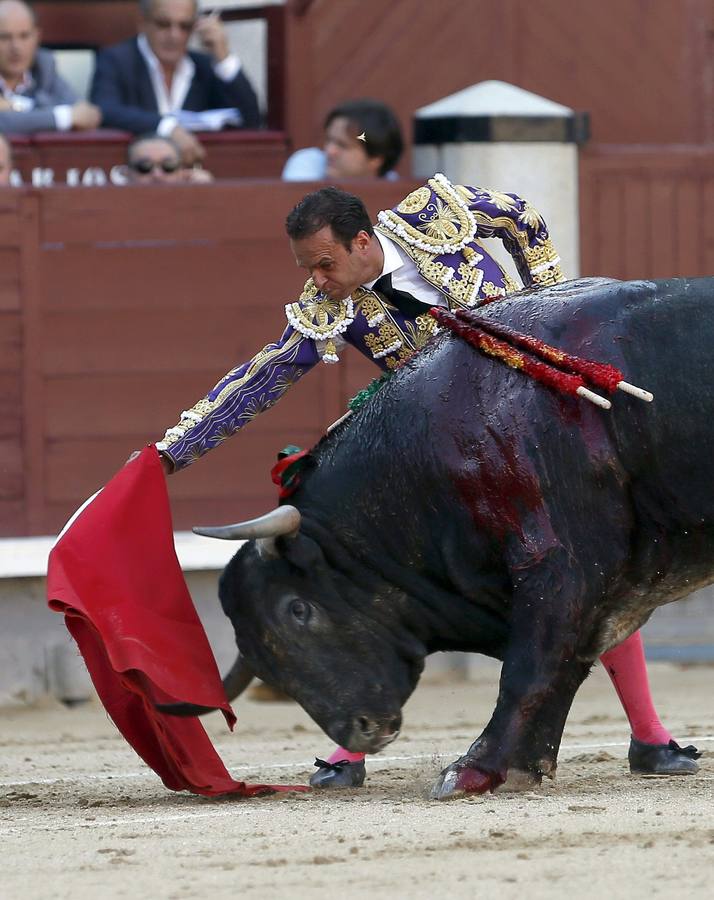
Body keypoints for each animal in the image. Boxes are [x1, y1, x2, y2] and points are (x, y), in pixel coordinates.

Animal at [165, 278, 708, 800]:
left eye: (298, 609)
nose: (360, 730)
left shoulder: (559, 563)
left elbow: (531, 668)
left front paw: (473, 771)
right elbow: (566, 664)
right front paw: (523, 766)